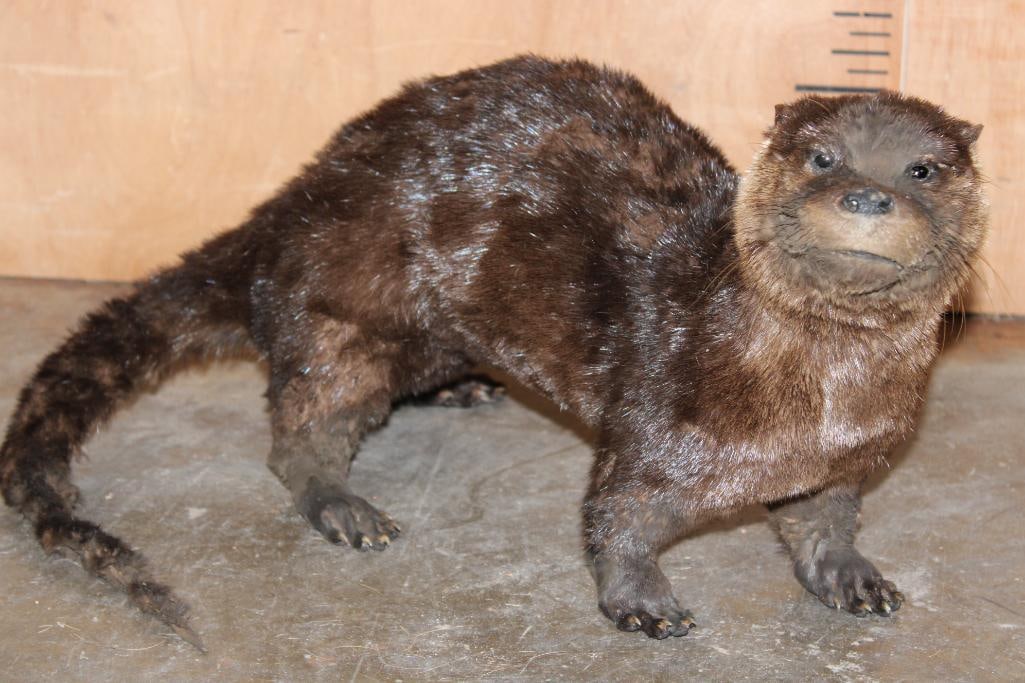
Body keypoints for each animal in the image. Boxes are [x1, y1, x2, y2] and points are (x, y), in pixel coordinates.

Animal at [0, 56, 985, 648]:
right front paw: (642, 601)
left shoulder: (841, 463)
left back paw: (462, 392)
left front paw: (855, 578)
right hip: (339, 312)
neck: (820, 403)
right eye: (821, 157)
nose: (866, 196)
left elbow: (822, 524)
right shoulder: (654, 418)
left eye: (923, 169)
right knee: (300, 428)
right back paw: (346, 507)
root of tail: (295, 198)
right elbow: (616, 512)